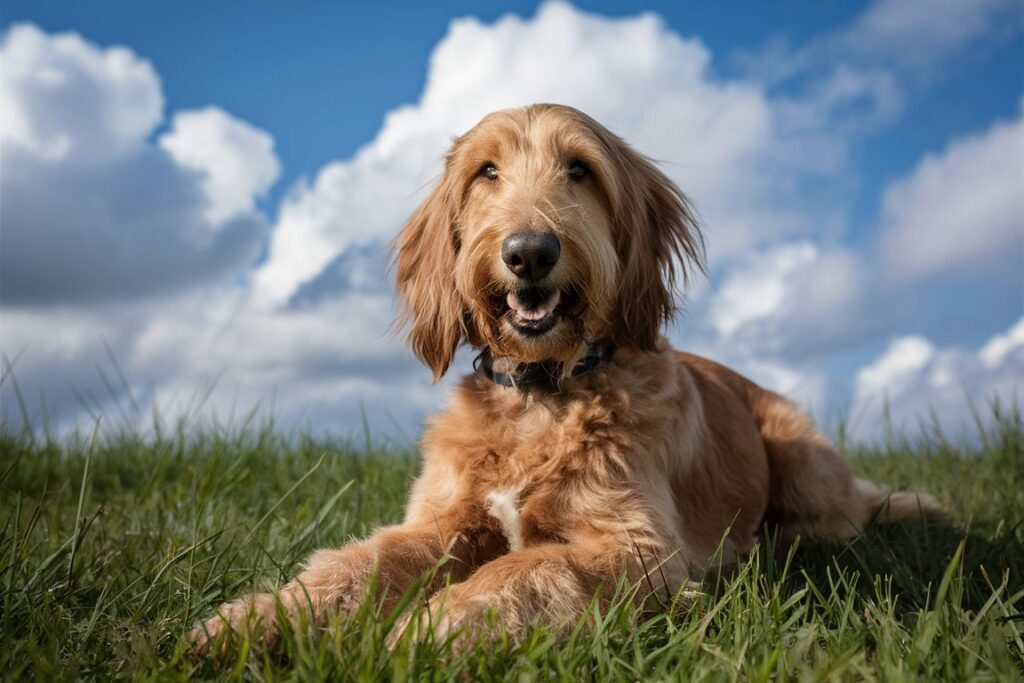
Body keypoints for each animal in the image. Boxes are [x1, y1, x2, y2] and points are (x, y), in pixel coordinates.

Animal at [192, 101, 942, 651]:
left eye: (580, 169)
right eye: (487, 172)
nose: (529, 252)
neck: (539, 394)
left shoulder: (633, 545)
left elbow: (526, 565)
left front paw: (426, 631)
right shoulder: (440, 520)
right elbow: (356, 562)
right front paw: (256, 620)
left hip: (803, 462)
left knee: (843, 519)